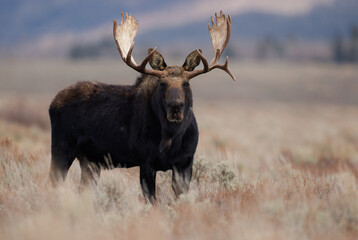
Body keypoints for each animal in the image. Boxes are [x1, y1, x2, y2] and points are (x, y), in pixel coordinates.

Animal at [49, 11, 235, 202]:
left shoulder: (185, 163)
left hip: (90, 160)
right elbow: (151, 200)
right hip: (61, 148)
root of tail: (53, 102)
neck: (170, 137)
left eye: (186, 84)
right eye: (162, 83)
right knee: (53, 183)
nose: (175, 107)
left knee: (83, 189)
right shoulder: (146, 162)